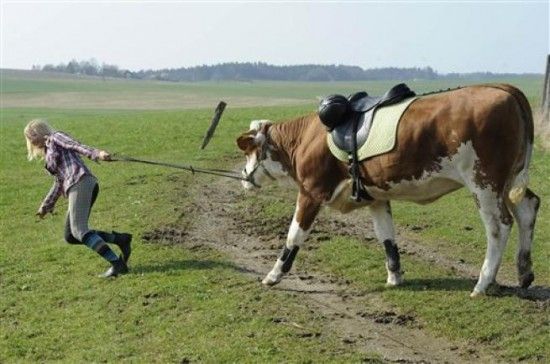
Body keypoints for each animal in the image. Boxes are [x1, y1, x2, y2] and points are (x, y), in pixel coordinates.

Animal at [236, 84, 540, 298]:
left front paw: (273, 275)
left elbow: (293, 237)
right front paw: (395, 277)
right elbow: (387, 238)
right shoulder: (376, 197)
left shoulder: (311, 192)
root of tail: (502, 88)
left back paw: (483, 283)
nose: (243, 177)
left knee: (499, 226)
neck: (305, 138)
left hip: (484, 182)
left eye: (249, 151)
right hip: (508, 181)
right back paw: (524, 272)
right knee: (528, 207)